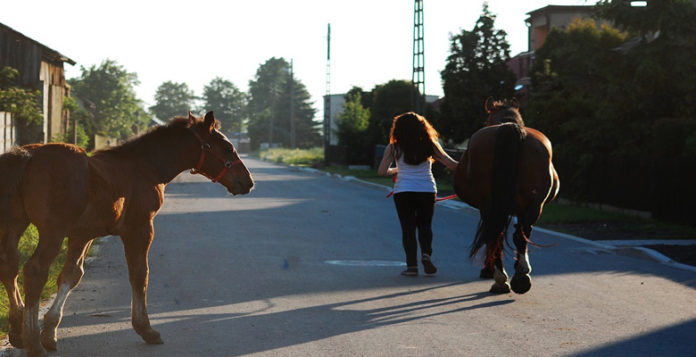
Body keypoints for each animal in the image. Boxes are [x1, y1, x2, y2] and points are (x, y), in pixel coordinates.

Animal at [0, 110, 256, 354]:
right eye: (227, 148)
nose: (248, 182)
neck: (145, 167)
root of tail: (28, 156)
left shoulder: (82, 235)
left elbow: (71, 275)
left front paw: (50, 331)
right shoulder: (140, 228)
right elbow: (140, 274)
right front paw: (146, 329)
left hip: (15, 225)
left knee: (10, 266)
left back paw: (18, 330)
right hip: (52, 231)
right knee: (34, 271)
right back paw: (33, 342)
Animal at [452, 98, 560, 294]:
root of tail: (509, 128)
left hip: (490, 205)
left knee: (497, 236)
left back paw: (501, 279)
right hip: (535, 205)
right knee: (520, 234)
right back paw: (520, 276)